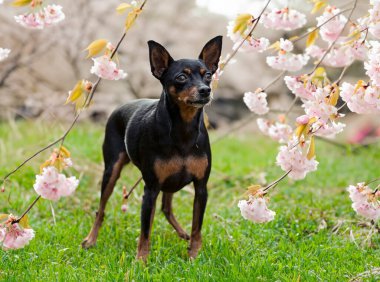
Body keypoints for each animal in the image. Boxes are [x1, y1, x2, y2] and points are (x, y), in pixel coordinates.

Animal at [81, 35, 223, 262]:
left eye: (208, 75)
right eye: (181, 77)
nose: (205, 90)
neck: (183, 129)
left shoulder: (201, 189)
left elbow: (197, 228)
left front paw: (193, 256)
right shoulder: (151, 189)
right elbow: (145, 230)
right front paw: (141, 261)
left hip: (170, 182)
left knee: (166, 208)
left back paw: (182, 233)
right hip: (112, 170)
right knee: (101, 209)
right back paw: (91, 239)